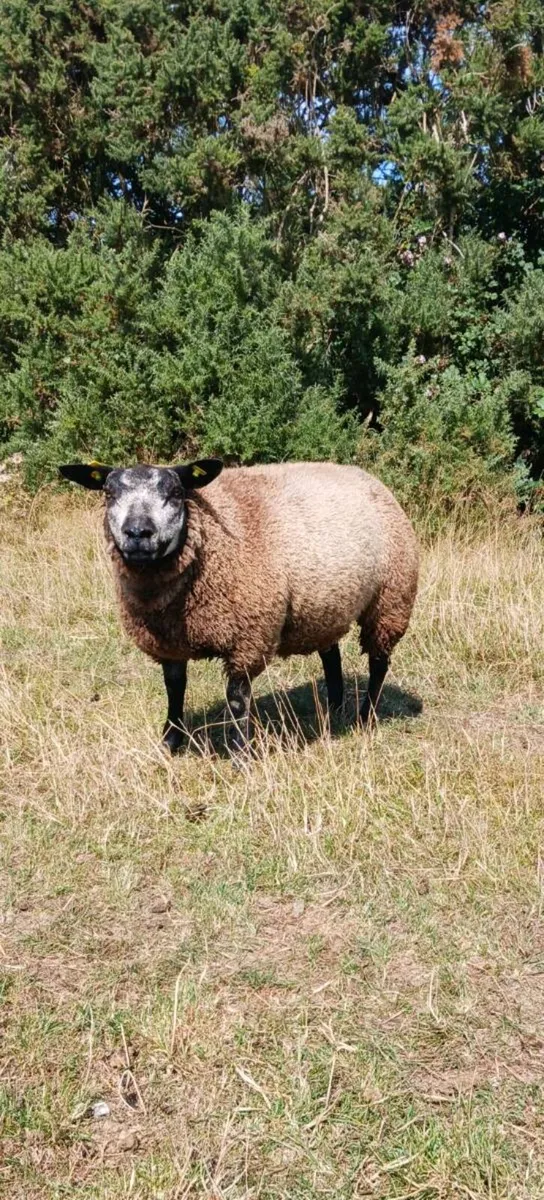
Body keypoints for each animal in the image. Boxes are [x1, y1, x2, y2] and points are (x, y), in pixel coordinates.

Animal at [59, 458, 419, 756]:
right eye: (109, 493)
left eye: (176, 492)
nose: (138, 533)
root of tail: (367, 477)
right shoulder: (170, 642)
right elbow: (174, 689)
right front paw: (170, 742)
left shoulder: (247, 638)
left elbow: (236, 699)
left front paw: (239, 754)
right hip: (324, 604)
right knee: (331, 656)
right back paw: (333, 708)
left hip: (391, 598)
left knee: (379, 662)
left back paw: (365, 716)